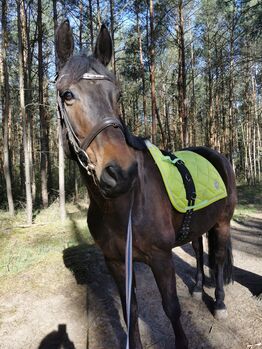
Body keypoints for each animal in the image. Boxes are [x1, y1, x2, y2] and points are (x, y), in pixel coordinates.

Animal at [54, 21, 237, 348]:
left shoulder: (160, 258)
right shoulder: (116, 262)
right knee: (198, 248)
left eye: (118, 95)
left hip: (223, 223)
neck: (124, 204)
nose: (121, 172)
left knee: (216, 260)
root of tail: (218, 155)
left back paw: (218, 303)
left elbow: (171, 309)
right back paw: (196, 288)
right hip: (198, 224)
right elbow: (131, 311)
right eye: (67, 95)